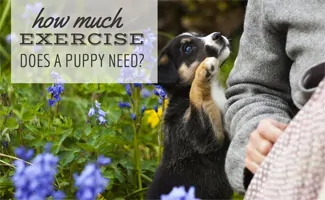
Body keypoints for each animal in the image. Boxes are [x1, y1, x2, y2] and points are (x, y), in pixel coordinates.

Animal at [146, 32, 233, 199]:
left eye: (199, 35)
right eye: (187, 48)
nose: (217, 35)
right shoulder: (203, 137)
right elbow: (198, 96)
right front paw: (203, 70)